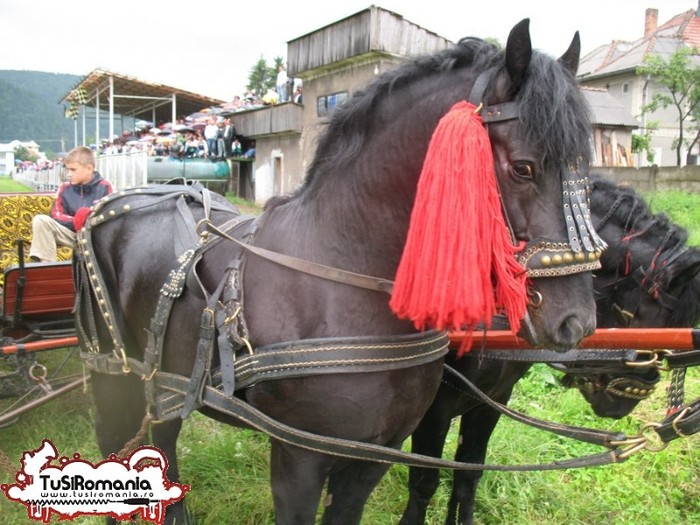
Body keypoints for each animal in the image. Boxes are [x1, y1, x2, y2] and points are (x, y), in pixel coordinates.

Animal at [75, 20, 600, 524]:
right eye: (523, 168)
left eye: (586, 173)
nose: (576, 322)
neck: (340, 279)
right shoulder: (299, 460)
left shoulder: (375, 454)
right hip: (112, 373)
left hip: (165, 379)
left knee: (162, 437)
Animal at [402, 174, 700, 524]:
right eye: (639, 317)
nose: (623, 403)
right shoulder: (435, 407)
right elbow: (425, 480)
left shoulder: (492, 400)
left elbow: (467, 474)